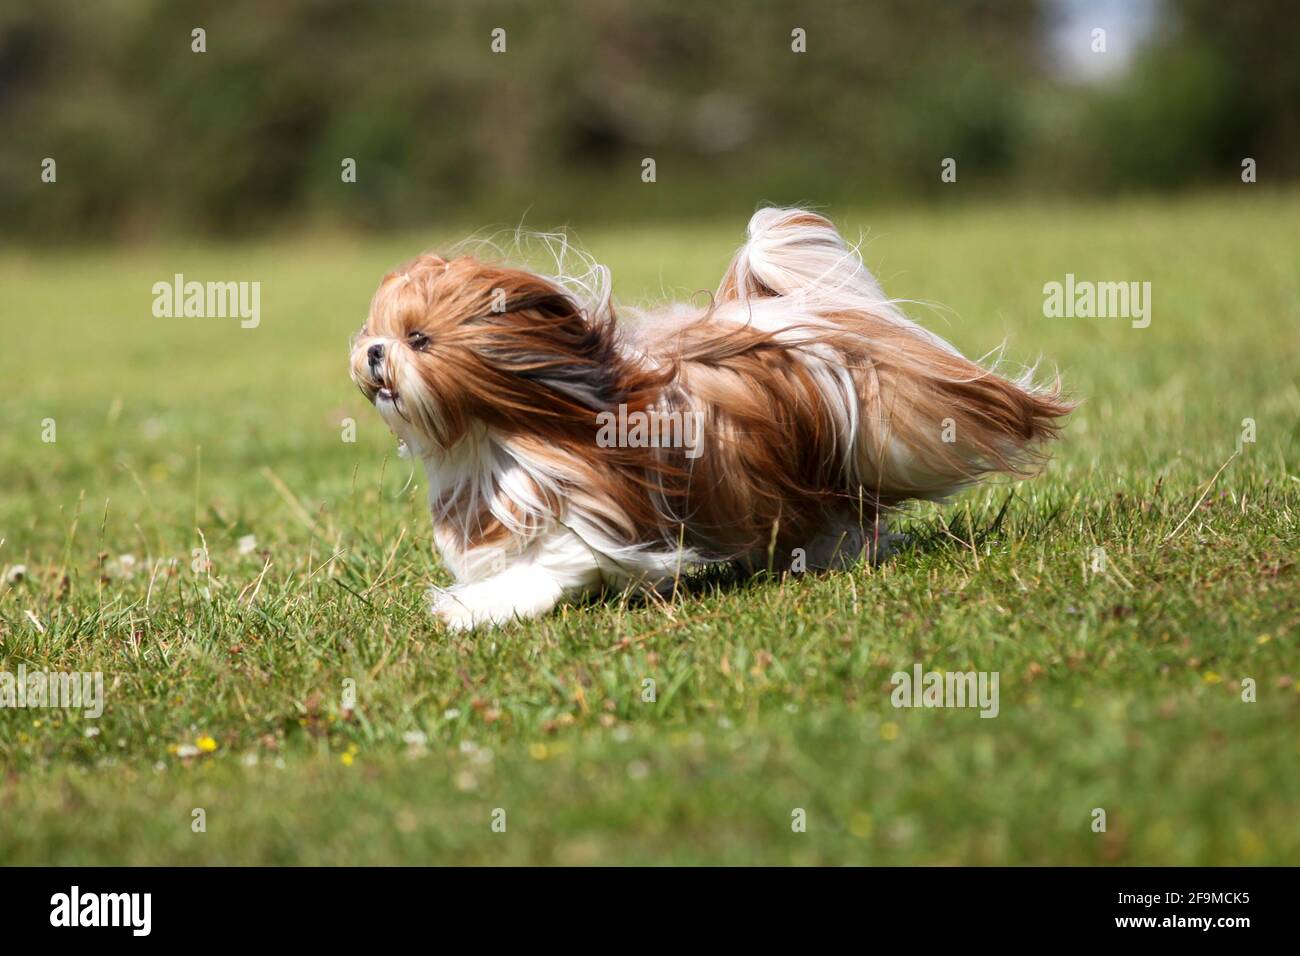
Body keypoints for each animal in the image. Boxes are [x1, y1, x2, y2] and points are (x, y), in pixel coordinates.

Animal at [351, 205, 1071, 632]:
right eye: (375, 329)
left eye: (419, 338)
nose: (374, 353)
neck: (495, 431)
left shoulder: (599, 513)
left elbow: (553, 565)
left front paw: (472, 608)